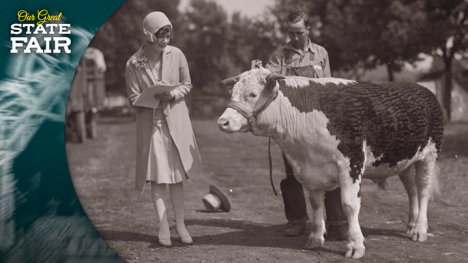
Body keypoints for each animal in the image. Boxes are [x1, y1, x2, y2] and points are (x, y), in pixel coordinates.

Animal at [218, 68, 444, 260]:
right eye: (233, 93)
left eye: (253, 94)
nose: (222, 122)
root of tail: (423, 89)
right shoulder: (310, 169)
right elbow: (316, 203)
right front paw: (316, 238)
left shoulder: (351, 163)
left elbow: (349, 205)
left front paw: (356, 246)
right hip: (404, 160)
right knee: (411, 190)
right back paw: (411, 224)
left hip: (429, 155)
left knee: (423, 190)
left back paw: (420, 230)